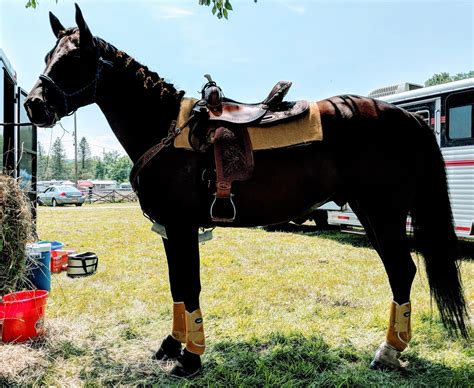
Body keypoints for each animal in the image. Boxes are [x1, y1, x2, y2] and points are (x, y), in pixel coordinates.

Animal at [24, 4, 468, 378]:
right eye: (47, 57)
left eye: (73, 59)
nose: (33, 105)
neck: (166, 129)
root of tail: (408, 118)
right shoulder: (169, 229)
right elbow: (177, 287)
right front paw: (173, 344)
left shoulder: (182, 227)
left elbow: (189, 286)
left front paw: (191, 358)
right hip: (370, 212)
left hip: (383, 213)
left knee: (403, 271)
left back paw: (388, 352)